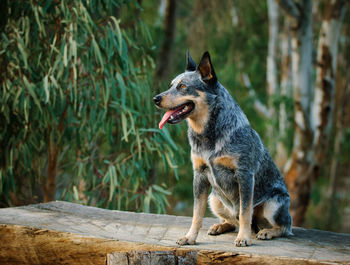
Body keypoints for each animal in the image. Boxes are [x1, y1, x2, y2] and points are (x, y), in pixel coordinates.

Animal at [153, 51, 292, 245]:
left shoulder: (244, 174)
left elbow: (245, 211)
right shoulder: (200, 174)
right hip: (214, 198)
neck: (208, 134)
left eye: (183, 86)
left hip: (274, 203)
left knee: (283, 227)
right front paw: (190, 237)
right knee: (233, 221)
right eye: (171, 85)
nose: (156, 99)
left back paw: (267, 232)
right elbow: (197, 214)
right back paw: (220, 226)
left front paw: (243, 238)